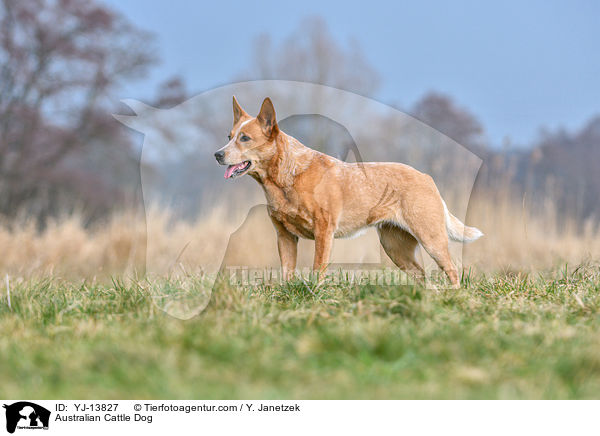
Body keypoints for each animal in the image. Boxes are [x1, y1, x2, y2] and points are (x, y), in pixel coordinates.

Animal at [216, 97, 482, 288]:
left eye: (245, 138)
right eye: (229, 136)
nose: (217, 154)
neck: (284, 177)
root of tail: (427, 178)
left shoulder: (324, 230)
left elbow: (318, 267)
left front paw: (314, 294)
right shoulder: (284, 236)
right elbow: (286, 271)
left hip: (431, 239)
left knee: (452, 270)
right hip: (394, 247)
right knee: (422, 275)